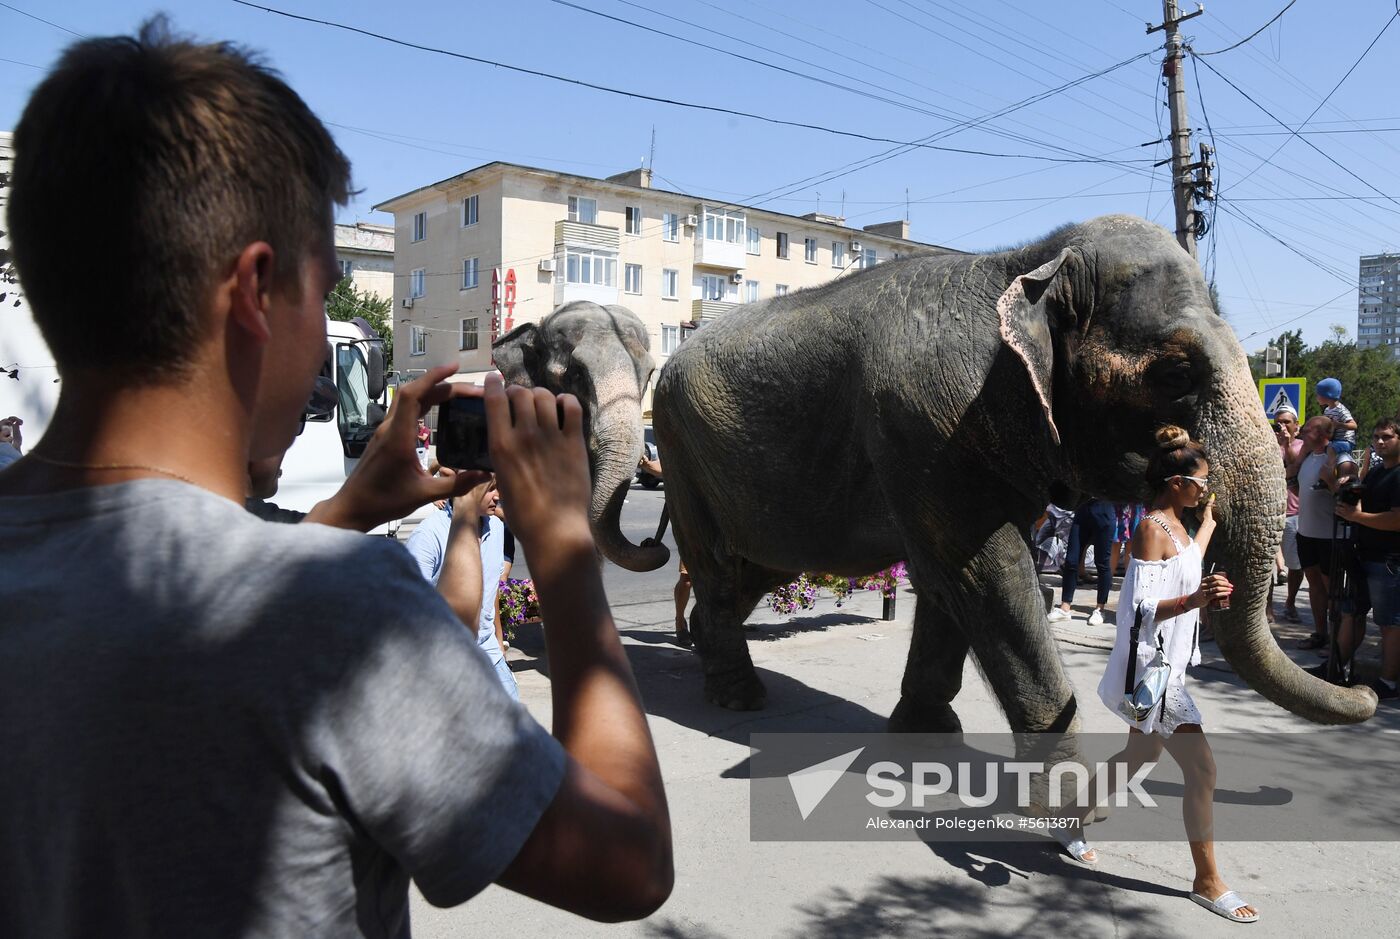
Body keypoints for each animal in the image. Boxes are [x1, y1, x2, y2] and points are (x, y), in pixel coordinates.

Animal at [495, 215, 1377, 733]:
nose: (1367, 698)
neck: (1029, 263)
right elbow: (985, 566)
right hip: (684, 454)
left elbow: (958, 576)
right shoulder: (927, 423)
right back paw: (737, 698)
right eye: (1174, 371)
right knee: (717, 570)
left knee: (750, 571)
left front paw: (926, 731)